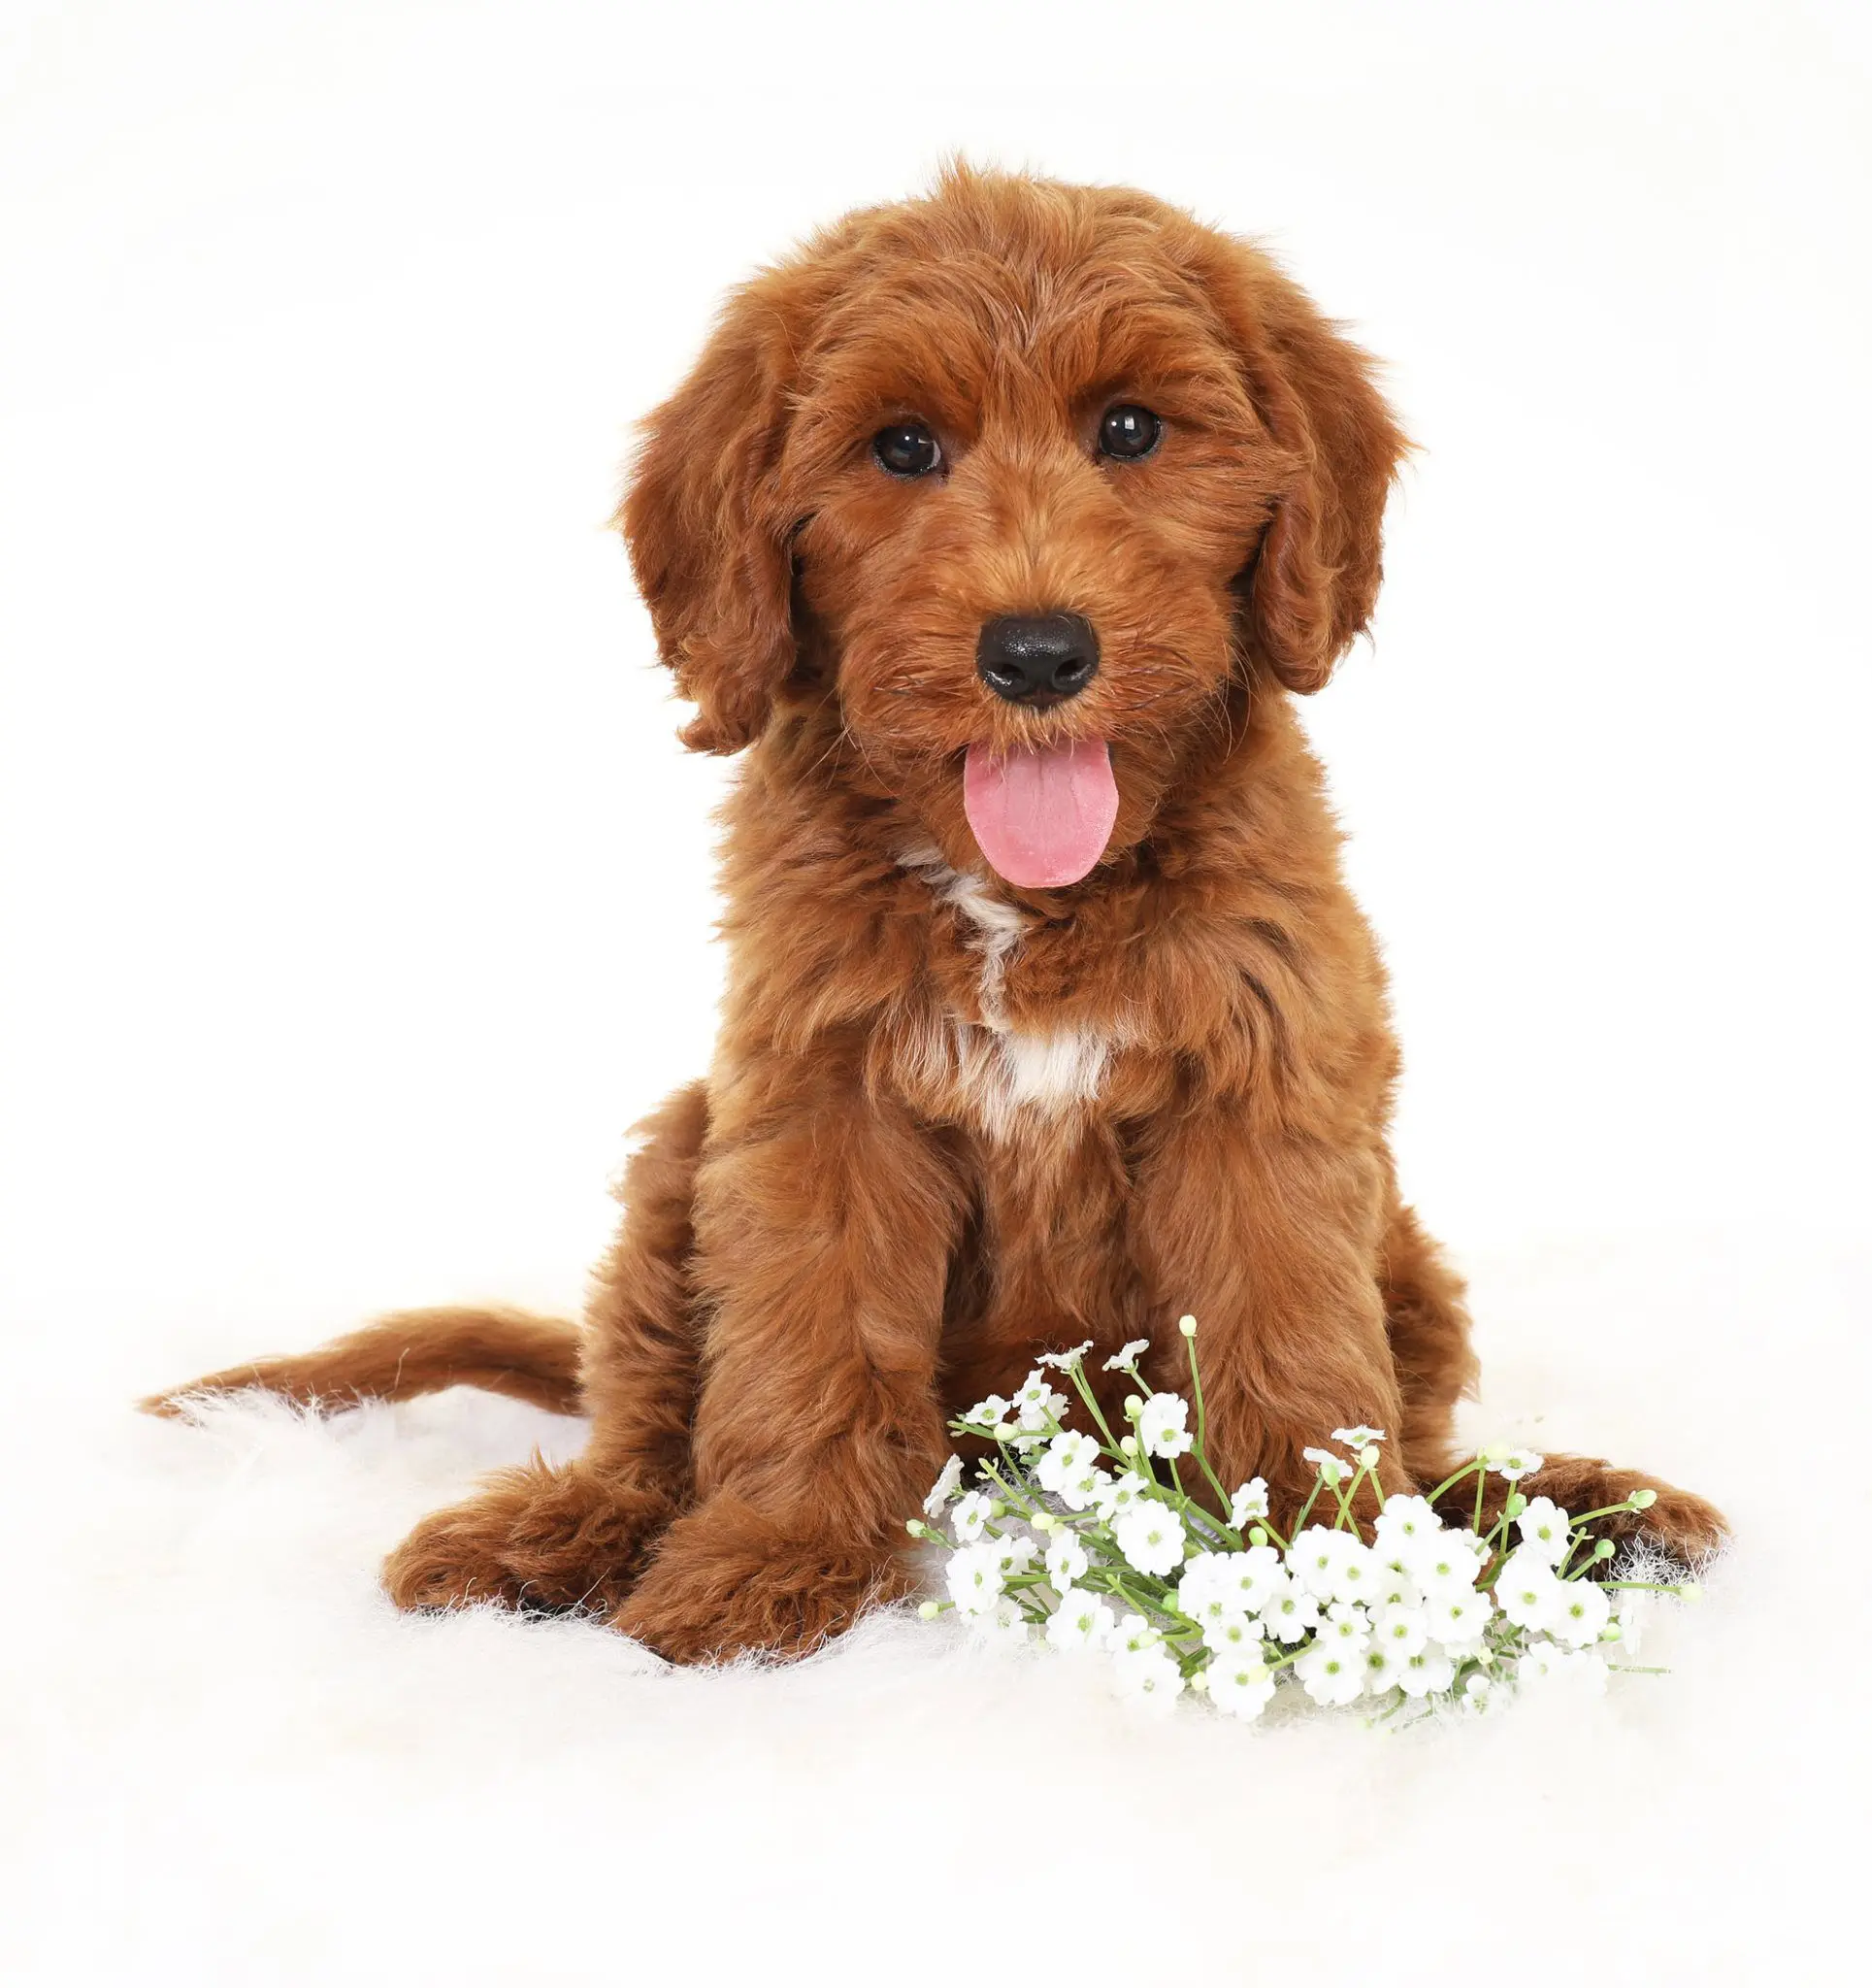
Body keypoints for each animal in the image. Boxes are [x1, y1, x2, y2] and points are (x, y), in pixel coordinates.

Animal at [149, 167, 1732, 1662]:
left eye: (1133, 430)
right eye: (902, 447)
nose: (1036, 654)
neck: (1026, 893)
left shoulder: (1263, 1081)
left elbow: (1293, 1343)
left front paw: (1329, 1570)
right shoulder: (817, 1096)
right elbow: (806, 1343)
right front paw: (770, 1558)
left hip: (1398, 1237)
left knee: (1420, 1432)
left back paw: (1566, 1507)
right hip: (682, 1149)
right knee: (646, 1414)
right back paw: (559, 1533)